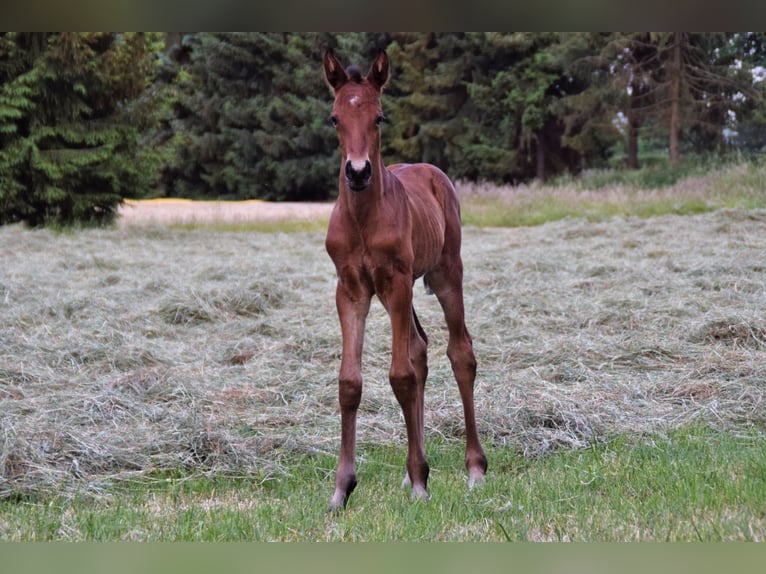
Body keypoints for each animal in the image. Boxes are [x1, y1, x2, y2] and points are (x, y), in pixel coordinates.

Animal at [320, 47, 488, 510]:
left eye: (379, 116)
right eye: (334, 118)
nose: (357, 172)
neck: (363, 218)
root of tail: (431, 171)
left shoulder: (394, 282)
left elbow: (400, 376)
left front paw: (420, 484)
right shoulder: (350, 288)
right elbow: (350, 381)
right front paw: (342, 488)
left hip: (446, 272)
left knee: (459, 352)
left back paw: (473, 468)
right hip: (409, 287)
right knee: (421, 349)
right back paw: (414, 467)